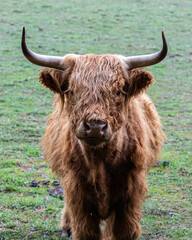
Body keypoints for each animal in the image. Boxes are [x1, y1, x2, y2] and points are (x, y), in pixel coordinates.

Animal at [21, 26, 167, 240]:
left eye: (119, 91)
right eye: (72, 91)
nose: (95, 127)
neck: (100, 162)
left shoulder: (130, 197)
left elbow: (124, 230)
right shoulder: (78, 195)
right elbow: (85, 230)